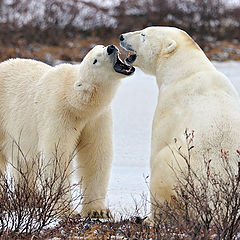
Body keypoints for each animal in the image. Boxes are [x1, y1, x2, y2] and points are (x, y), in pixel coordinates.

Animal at [0, 44, 135, 218]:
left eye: (102, 46)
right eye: (95, 60)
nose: (111, 48)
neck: (75, 101)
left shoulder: (96, 118)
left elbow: (96, 155)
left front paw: (98, 211)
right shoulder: (59, 113)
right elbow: (57, 156)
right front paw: (66, 211)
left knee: (24, 161)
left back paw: (30, 198)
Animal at [120, 26, 240, 221]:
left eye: (144, 34)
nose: (122, 36)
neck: (186, 70)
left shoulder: (169, 105)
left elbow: (158, 142)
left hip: (177, 170)